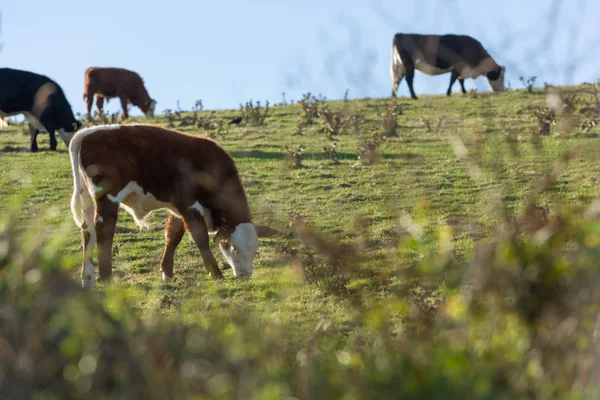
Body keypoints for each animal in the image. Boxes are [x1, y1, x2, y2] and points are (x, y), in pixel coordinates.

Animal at [69, 124, 276, 288]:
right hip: (107, 198)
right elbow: (200, 238)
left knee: (88, 233)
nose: (245, 275)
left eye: (255, 248)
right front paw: (216, 274)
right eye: (232, 247)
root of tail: (86, 133)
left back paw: (88, 279)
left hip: (88, 200)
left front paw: (166, 273)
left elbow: (173, 236)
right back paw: (106, 278)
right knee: (104, 231)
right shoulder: (189, 205)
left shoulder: (177, 208)